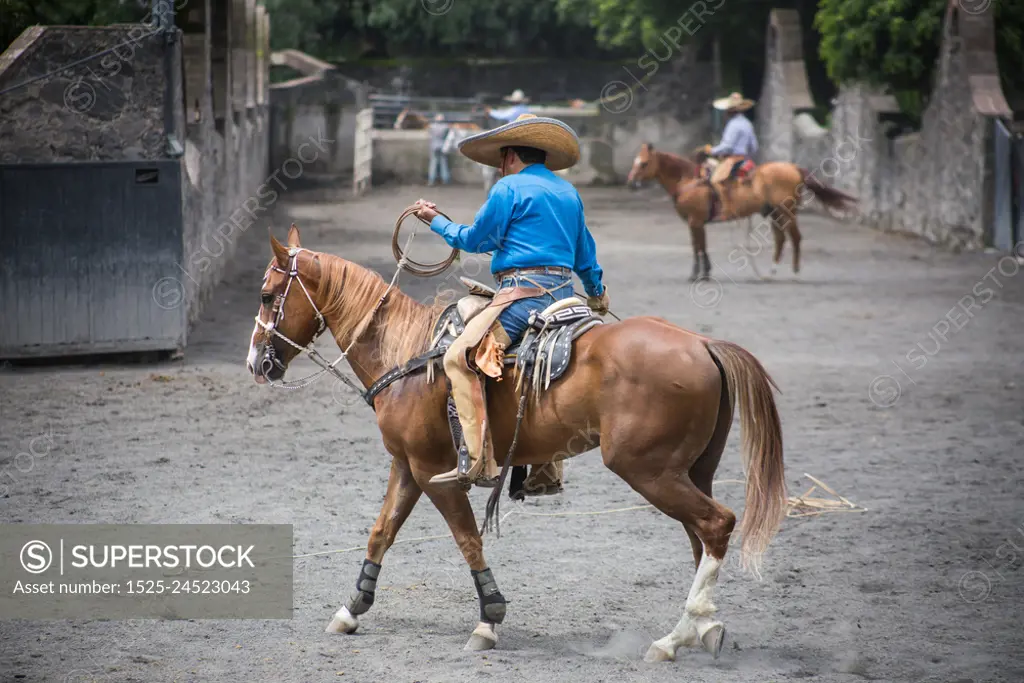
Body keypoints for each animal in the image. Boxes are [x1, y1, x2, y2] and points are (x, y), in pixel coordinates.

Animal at [245, 224, 782, 663]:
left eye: (269, 295)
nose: (256, 363)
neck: (408, 355)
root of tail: (702, 344)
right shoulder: (406, 466)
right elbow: (382, 532)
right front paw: (352, 608)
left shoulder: (435, 474)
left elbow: (467, 538)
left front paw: (489, 619)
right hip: (690, 470)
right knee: (701, 535)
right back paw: (704, 627)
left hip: (647, 469)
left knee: (716, 524)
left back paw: (673, 639)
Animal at [622, 144, 856, 282]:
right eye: (635, 161)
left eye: (643, 163)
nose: (630, 183)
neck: (689, 180)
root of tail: (793, 168)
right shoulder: (695, 223)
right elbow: (699, 246)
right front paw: (703, 272)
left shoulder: (695, 221)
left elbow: (699, 247)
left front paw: (699, 274)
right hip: (775, 213)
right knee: (781, 239)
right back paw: (771, 272)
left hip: (787, 211)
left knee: (795, 237)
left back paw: (794, 272)